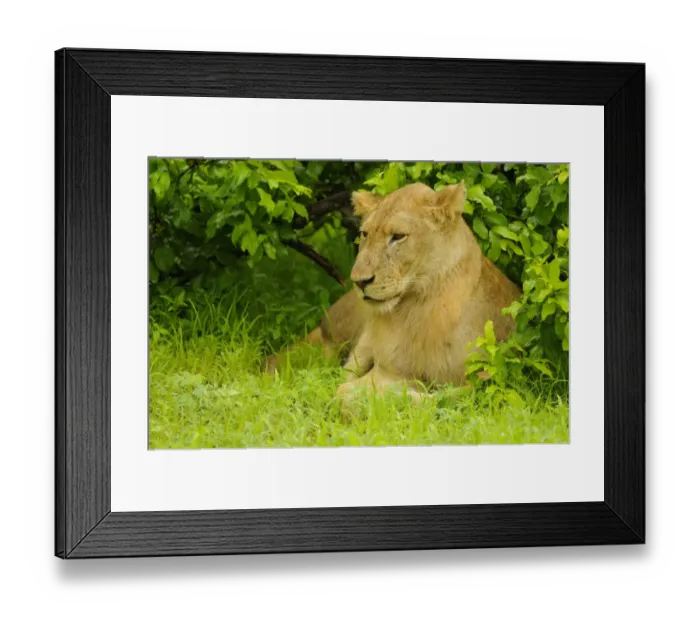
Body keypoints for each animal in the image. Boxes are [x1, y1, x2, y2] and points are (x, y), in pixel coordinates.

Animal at [266, 181, 521, 400]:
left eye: (398, 236)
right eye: (365, 234)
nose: (359, 281)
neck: (418, 305)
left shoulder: (480, 378)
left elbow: (438, 398)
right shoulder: (387, 370)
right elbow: (346, 389)